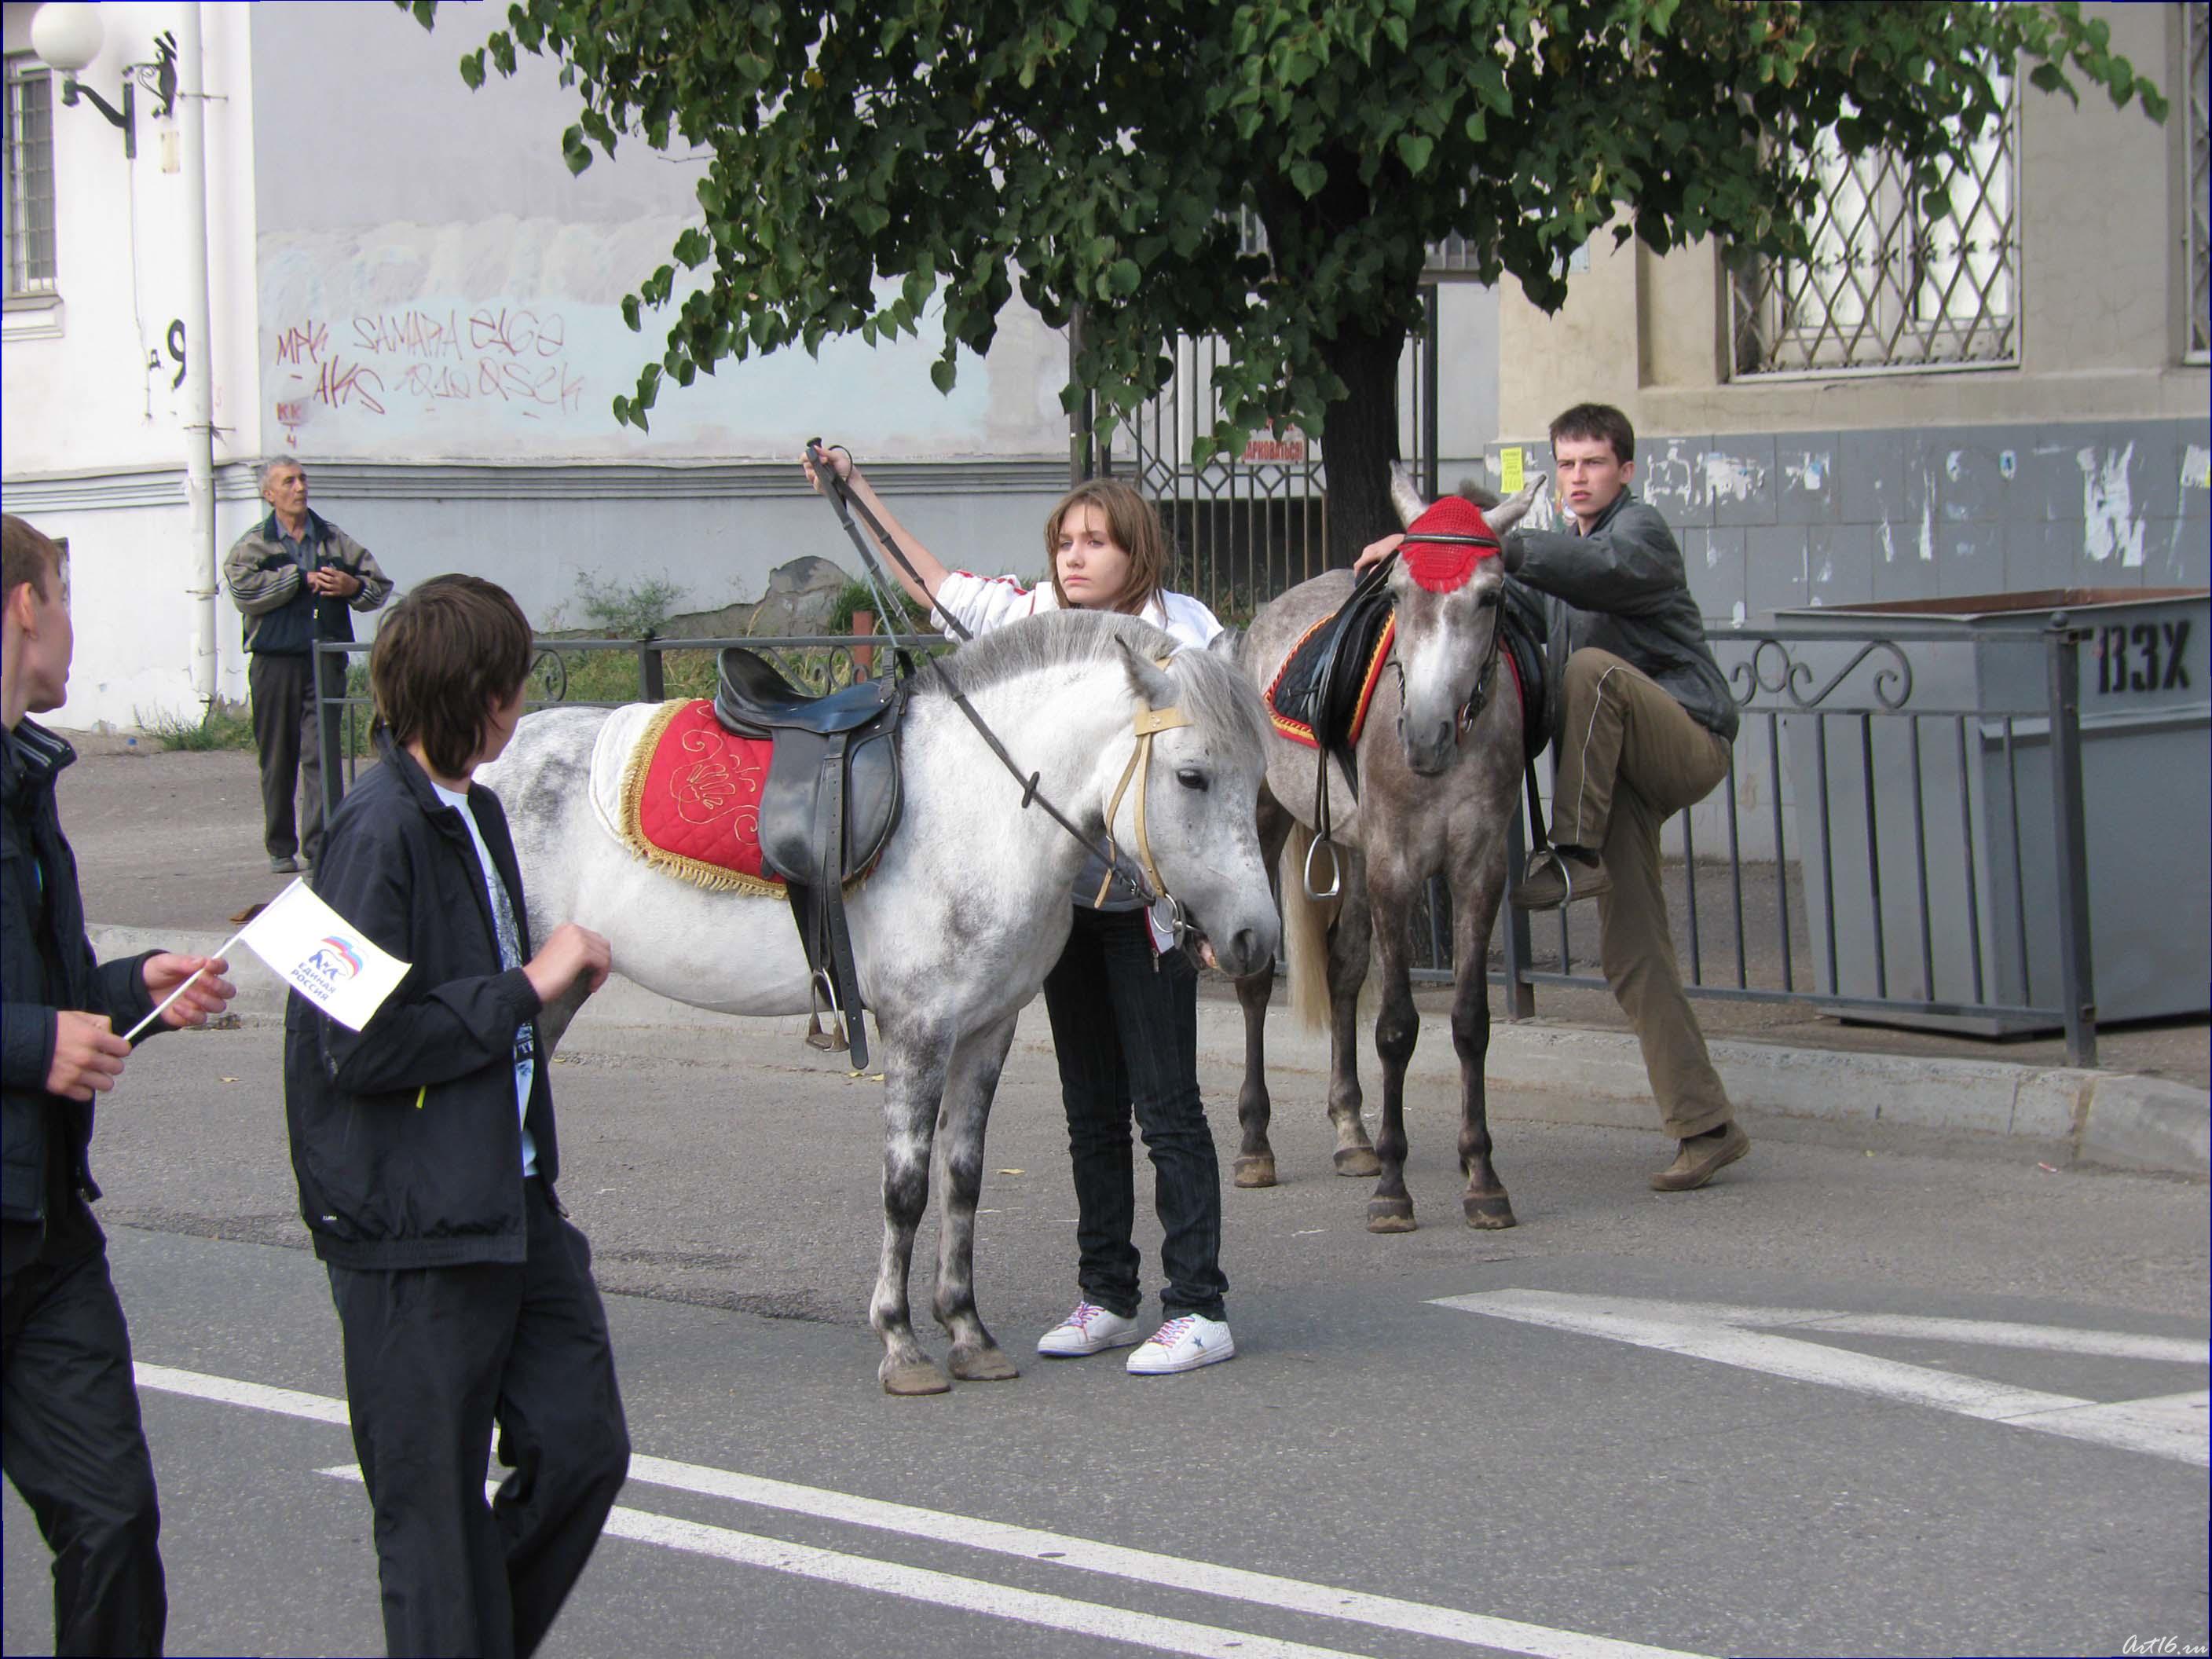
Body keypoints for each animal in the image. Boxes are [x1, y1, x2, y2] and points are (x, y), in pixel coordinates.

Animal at [484, 619, 1283, 1397]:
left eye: (1256, 779)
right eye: (1191, 776)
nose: (1256, 939)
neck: (981, 808)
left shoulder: (986, 1032)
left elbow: (963, 1180)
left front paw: (967, 1332)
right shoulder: (918, 1031)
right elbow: (905, 1188)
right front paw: (901, 1342)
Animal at [1229, 468, 1557, 1238]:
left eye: (1490, 597)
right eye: (1401, 592)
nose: (1426, 732)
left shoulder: (1477, 872)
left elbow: (1468, 1022)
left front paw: (1482, 1178)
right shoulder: (1396, 869)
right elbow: (1399, 1027)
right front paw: (1395, 1188)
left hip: (1350, 853)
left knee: (1345, 971)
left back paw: (1352, 1133)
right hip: (1269, 821)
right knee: (1257, 983)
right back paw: (1256, 1143)